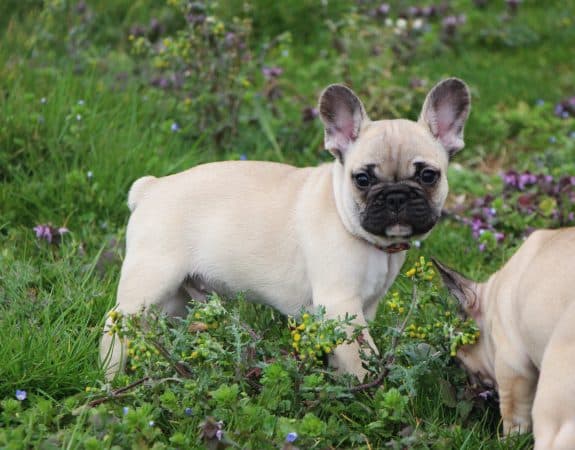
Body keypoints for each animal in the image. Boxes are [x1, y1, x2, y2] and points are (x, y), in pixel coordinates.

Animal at [102, 80, 472, 380]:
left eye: (428, 176)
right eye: (363, 179)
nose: (396, 196)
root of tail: (151, 188)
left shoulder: (363, 307)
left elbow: (344, 354)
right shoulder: (341, 306)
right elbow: (361, 356)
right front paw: (369, 392)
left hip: (175, 297)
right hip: (153, 277)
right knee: (116, 322)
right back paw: (110, 375)